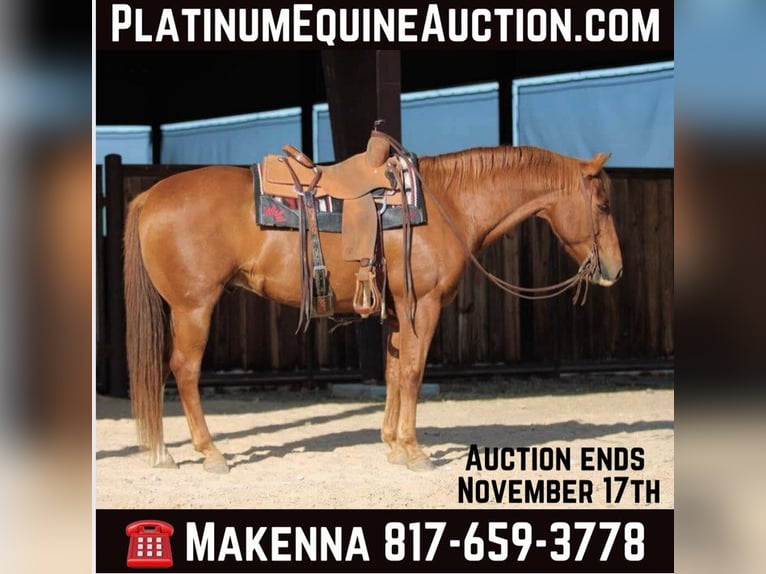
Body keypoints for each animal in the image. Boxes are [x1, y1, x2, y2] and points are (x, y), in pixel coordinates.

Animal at [123, 144, 623, 474]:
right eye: (602, 204)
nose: (615, 270)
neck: (447, 204)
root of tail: (150, 196)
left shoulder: (398, 310)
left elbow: (394, 371)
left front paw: (392, 444)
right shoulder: (423, 304)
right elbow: (414, 373)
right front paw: (414, 450)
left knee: (162, 370)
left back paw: (163, 452)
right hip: (194, 308)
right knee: (184, 370)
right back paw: (209, 452)